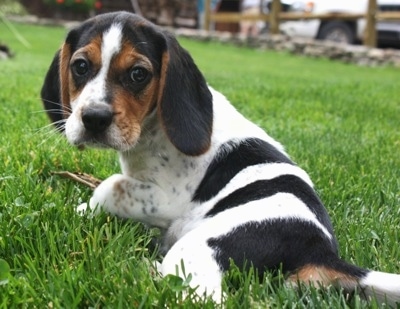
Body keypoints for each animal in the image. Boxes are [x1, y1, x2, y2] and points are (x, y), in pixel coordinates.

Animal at [41, 11, 400, 304]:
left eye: (138, 74)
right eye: (80, 66)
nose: (94, 119)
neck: (153, 127)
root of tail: (321, 253)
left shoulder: (163, 198)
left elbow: (109, 186)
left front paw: (86, 209)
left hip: (197, 246)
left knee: (200, 295)